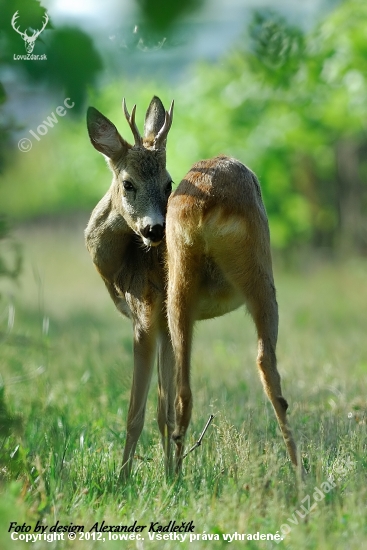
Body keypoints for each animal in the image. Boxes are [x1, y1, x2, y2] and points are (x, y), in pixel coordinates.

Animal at [85, 96, 300, 484]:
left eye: (167, 183)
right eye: (128, 183)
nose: (155, 230)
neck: (122, 263)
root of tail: (209, 201)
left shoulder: (144, 315)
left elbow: (138, 410)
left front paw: (124, 479)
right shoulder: (161, 326)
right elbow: (161, 408)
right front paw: (159, 470)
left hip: (216, 280)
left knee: (231, 382)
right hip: (224, 283)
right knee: (242, 376)